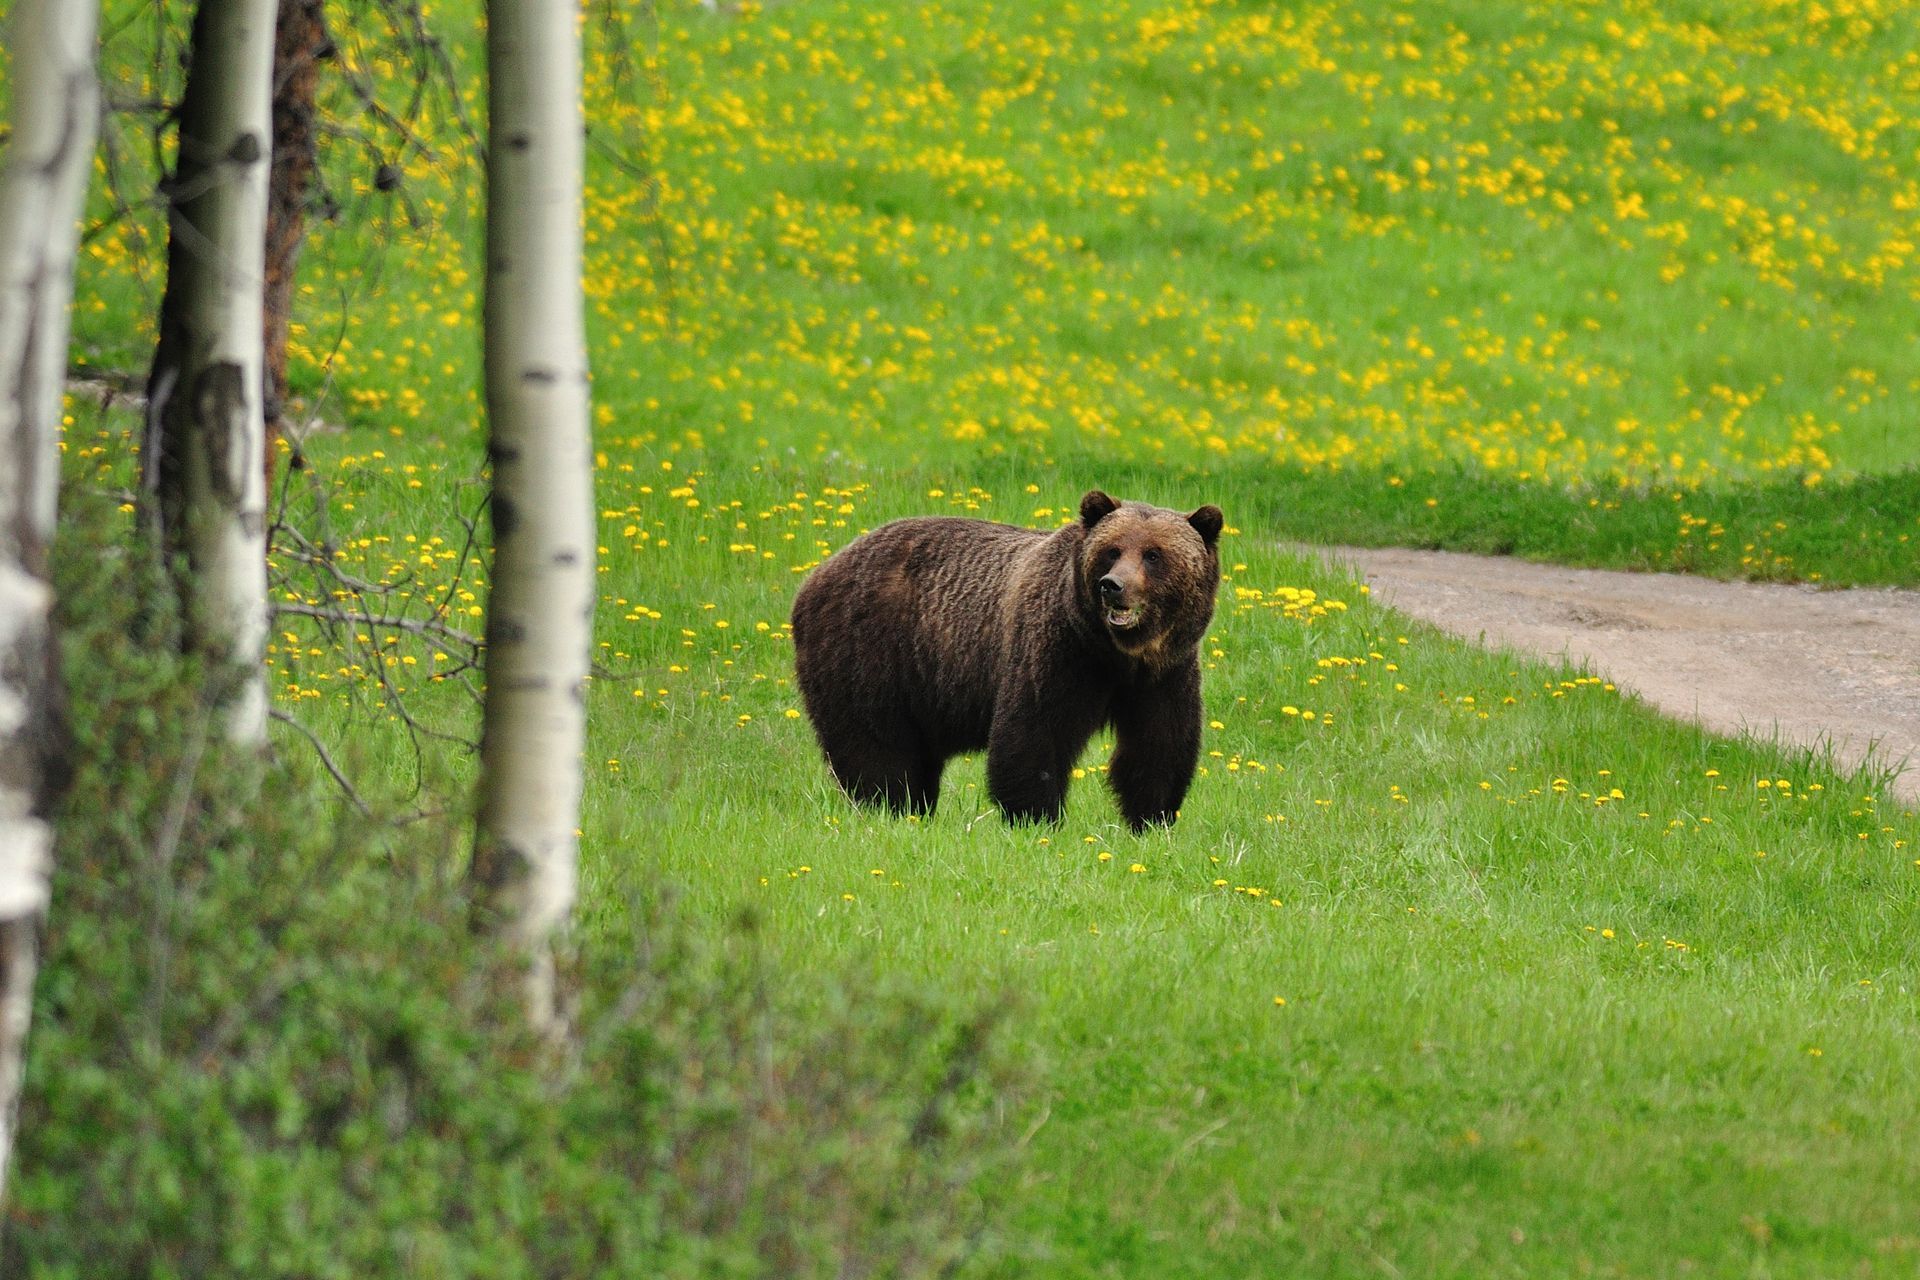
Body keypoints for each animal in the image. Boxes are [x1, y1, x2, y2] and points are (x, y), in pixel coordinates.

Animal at [790, 489, 1223, 831]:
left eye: (1153, 555)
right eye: (1111, 551)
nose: (1112, 586)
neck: (1119, 654)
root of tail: (816, 575)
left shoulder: (1164, 674)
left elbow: (1159, 743)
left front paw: (1152, 817)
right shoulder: (1059, 653)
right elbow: (1035, 731)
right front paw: (1036, 817)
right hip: (868, 651)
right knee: (875, 741)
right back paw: (888, 805)